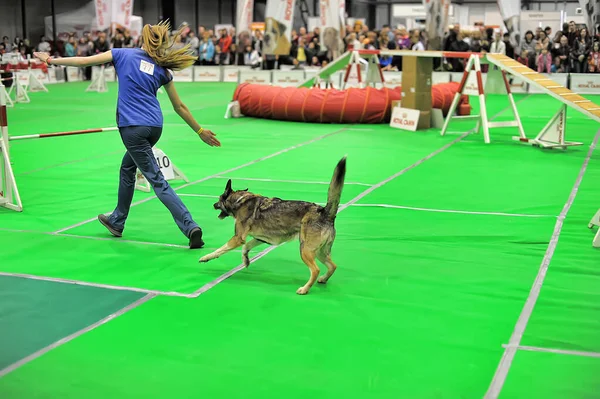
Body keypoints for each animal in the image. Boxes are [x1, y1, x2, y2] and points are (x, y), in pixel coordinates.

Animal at [199, 158, 344, 296]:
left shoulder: (238, 238)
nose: (213, 205)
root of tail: (324, 212)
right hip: (320, 251)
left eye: (219, 199)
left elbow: (220, 249)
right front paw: (246, 260)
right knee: (333, 266)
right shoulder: (259, 238)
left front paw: (207, 257)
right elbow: (246, 247)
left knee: (315, 270)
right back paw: (323, 279)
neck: (239, 201)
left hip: (305, 250)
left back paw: (305, 289)